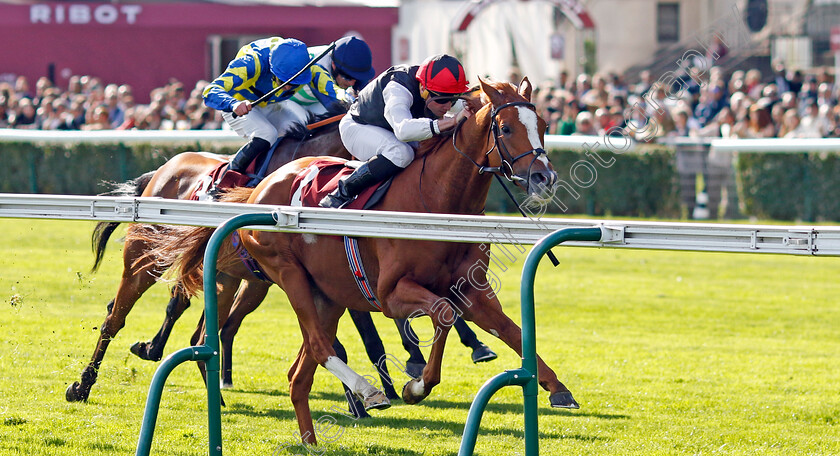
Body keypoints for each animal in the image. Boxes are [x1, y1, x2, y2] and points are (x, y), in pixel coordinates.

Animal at [138, 76, 576, 444]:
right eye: (507, 129)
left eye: (544, 125)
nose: (544, 177)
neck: (438, 202)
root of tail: (260, 189)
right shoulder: (391, 293)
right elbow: (442, 315)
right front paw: (415, 386)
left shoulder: (472, 289)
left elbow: (510, 330)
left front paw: (557, 388)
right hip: (287, 274)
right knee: (315, 346)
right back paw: (368, 393)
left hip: (323, 295)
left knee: (297, 372)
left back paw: (311, 440)